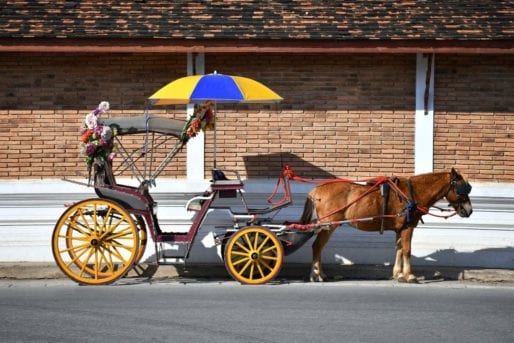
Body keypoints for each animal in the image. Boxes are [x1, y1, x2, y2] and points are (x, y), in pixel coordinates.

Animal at [300, 168, 472, 284]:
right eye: (461, 188)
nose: (469, 210)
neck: (412, 193)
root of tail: (316, 190)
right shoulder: (408, 228)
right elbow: (407, 250)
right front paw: (410, 276)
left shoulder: (400, 229)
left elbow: (399, 249)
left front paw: (398, 274)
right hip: (328, 226)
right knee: (317, 247)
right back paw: (316, 275)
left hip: (328, 226)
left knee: (320, 248)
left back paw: (321, 274)